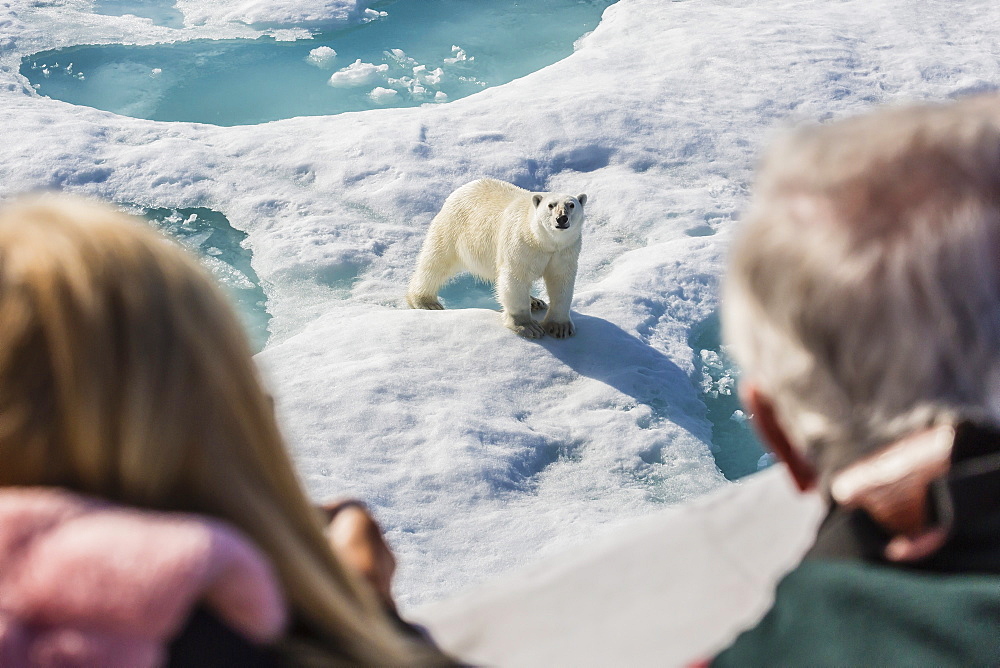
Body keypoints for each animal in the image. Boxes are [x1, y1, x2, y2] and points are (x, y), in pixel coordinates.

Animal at [408, 179, 584, 340]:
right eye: (551, 205)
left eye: (571, 205)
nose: (562, 219)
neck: (543, 241)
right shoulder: (520, 243)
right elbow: (515, 278)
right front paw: (528, 327)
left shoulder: (564, 250)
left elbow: (561, 281)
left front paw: (560, 327)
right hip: (454, 228)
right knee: (436, 262)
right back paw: (426, 301)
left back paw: (535, 301)